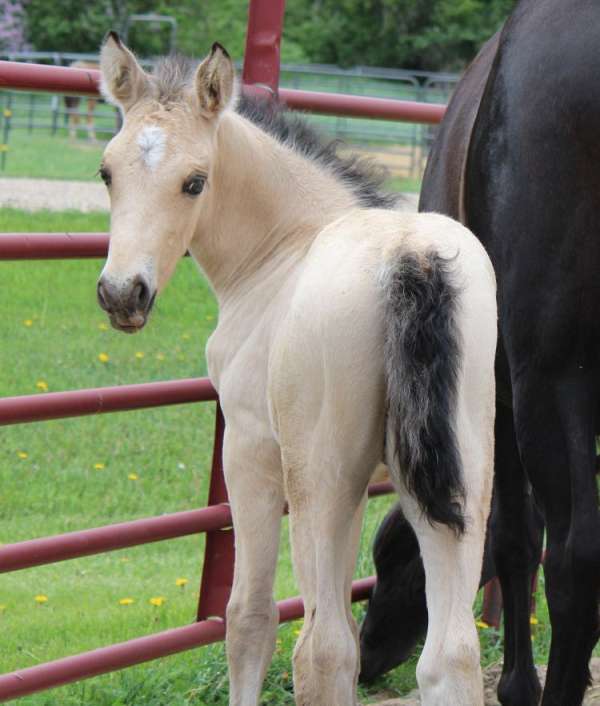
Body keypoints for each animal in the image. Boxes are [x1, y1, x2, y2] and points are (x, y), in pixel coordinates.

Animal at [95, 33, 497, 706]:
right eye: (106, 172)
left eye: (195, 181)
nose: (124, 294)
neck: (284, 245)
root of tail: (409, 257)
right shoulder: (365, 484)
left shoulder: (250, 452)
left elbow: (249, 618)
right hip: (459, 481)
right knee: (449, 657)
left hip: (318, 480)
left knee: (322, 650)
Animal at [360, 1, 600, 704]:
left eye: (395, 559)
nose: (366, 653)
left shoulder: (499, 389)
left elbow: (516, 537)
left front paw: (518, 684)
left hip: (551, 375)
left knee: (574, 559)